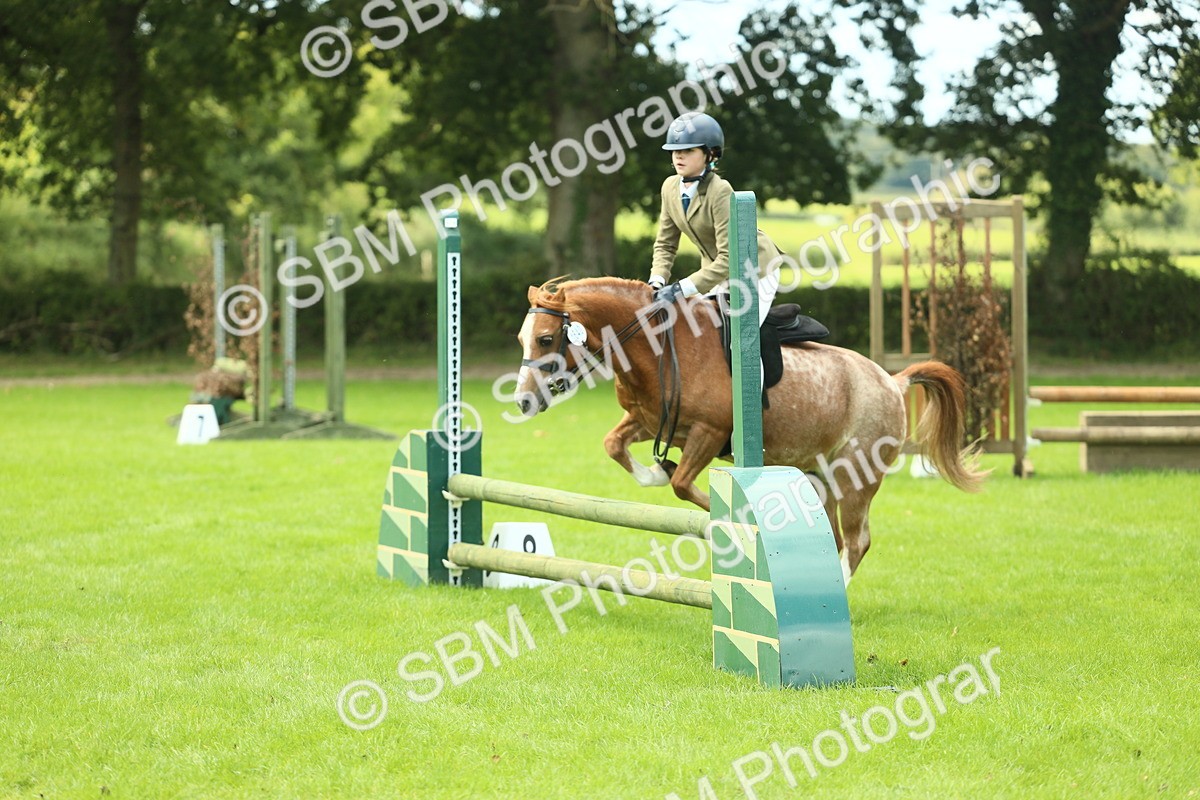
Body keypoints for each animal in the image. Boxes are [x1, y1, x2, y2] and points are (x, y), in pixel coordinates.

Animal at [513, 277, 986, 581]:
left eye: (546, 339)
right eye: (523, 338)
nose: (522, 401)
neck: (659, 347)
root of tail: (893, 381)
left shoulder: (708, 431)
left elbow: (683, 485)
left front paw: (726, 519)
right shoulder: (650, 422)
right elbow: (615, 445)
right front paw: (655, 472)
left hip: (857, 477)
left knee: (856, 541)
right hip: (820, 476)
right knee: (833, 537)